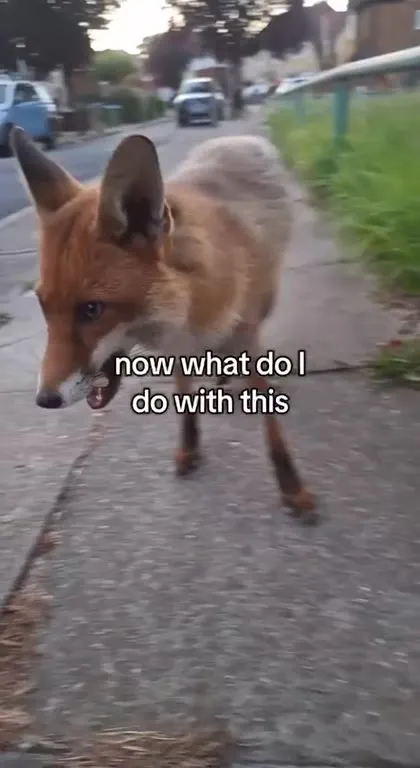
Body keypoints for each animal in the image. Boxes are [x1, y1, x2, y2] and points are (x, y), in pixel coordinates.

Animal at [11, 125, 317, 524]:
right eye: (44, 306)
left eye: (91, 309)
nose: (45, 400)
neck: (186, 309)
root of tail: (237, 138)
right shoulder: (178, 351)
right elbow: (185, 399)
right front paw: (189, 447)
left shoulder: (245, 337)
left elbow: (271, 425)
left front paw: (292, 487)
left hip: (268, 298)